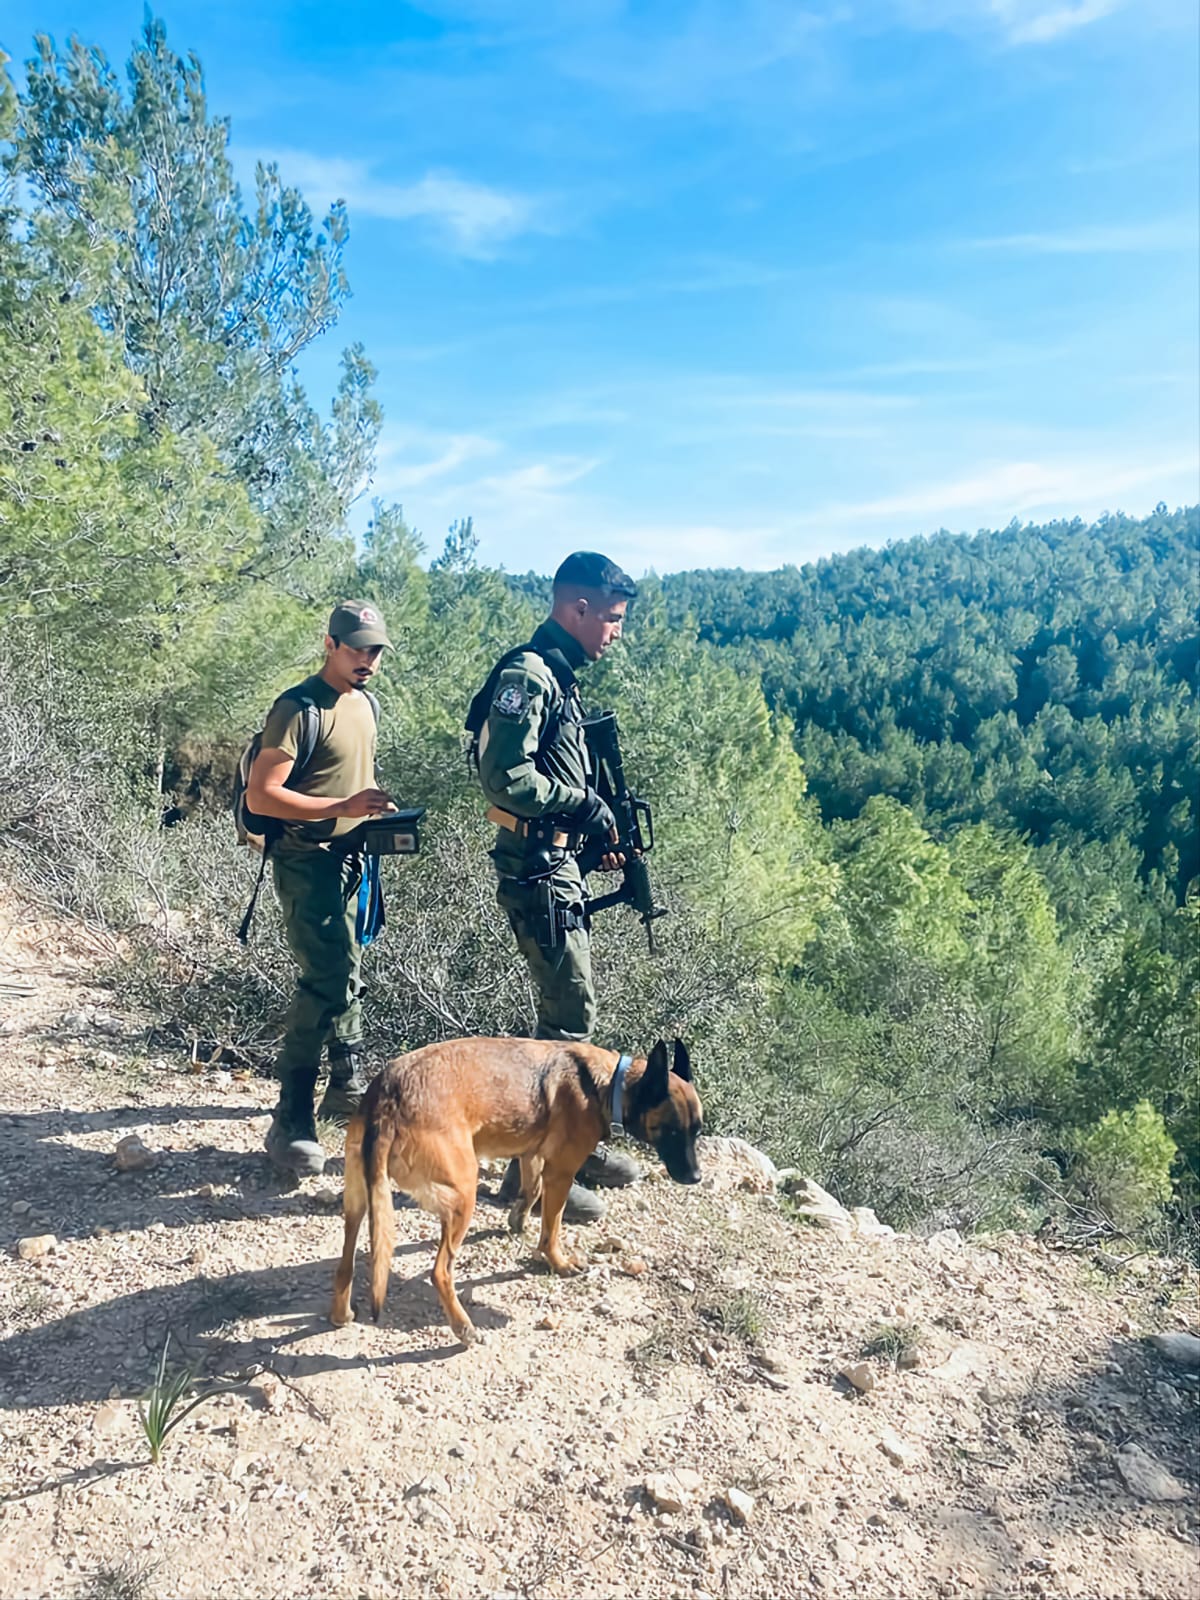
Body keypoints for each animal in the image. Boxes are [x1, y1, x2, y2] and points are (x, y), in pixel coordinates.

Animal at [329, 1043, 704, 1344]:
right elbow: (552, 1228)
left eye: (697, 1131)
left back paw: (341, 1314)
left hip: (358, 1202)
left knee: (346, 1261)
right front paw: (557, 1262)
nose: (697, 1177)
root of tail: (388, 1099)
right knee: (440, 1272)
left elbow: (531, 1189)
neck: (607, 1083)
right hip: (464, 1195)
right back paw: (464, 1328)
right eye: (672, 1130)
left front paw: (518, 1220)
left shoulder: (531, 1155)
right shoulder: (561, 1173)